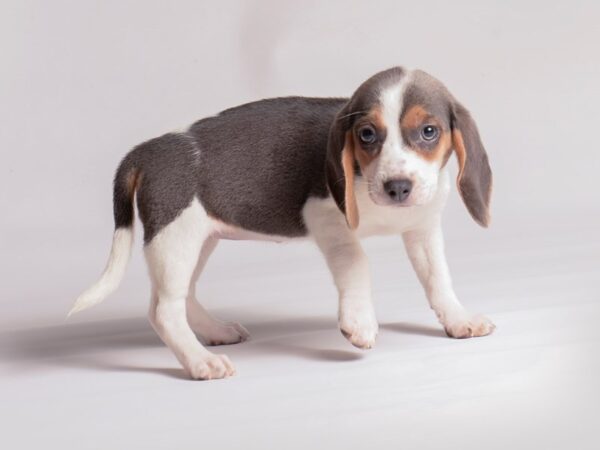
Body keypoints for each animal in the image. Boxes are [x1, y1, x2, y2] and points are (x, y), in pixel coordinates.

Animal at [69, 67, 492, 380]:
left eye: (429, 131)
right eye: (367, 134)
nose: (398, 187)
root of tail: (146, 151)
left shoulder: (423, 229)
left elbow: (438, 280)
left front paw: (458, 320)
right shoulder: (326, 218)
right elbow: (357, 263)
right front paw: (359, 323)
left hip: (196, 239)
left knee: (181, 296)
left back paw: (214, 333)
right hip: (175, 239)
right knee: (164, 311)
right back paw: (201, 362)